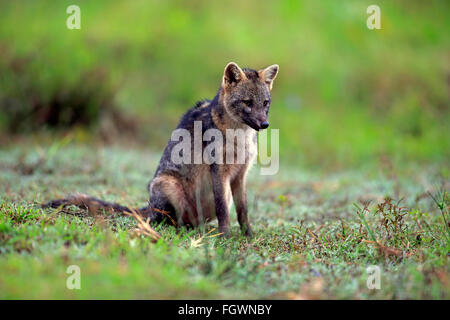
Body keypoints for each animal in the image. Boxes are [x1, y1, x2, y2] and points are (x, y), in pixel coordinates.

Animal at [44, 62, 278, 238]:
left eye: (265, 103)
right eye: (247, 102)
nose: (265, 124)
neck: (240, 137)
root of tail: (148, 206)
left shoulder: (240, 174)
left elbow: (243, 210)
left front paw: (248, 235)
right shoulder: (219, 172)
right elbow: (223, 211)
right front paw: (225, 237)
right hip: (169, 187)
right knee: (171, 222)